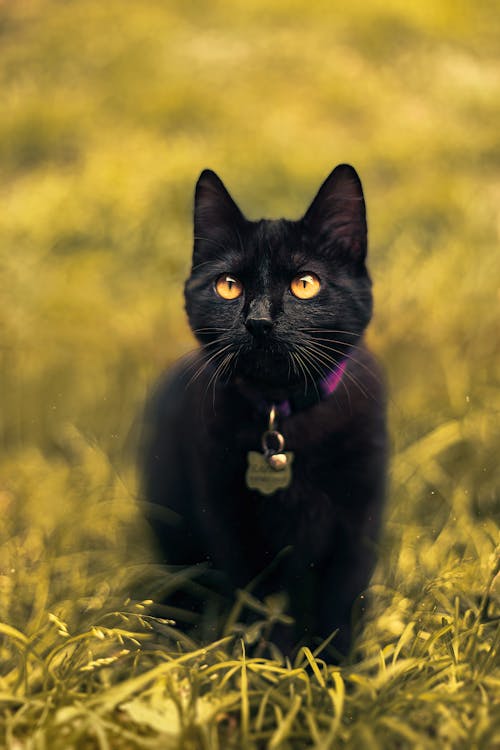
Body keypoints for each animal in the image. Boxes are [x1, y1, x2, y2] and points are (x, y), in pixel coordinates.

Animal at [141, 166, 386, 656]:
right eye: (228, 286)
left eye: (305, 284)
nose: (258, 321)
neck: (283, 413)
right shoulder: (232, 522)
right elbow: (260, 604)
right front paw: (273, 664)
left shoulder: (359, 520)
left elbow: (342, 599)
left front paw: (340, 666)